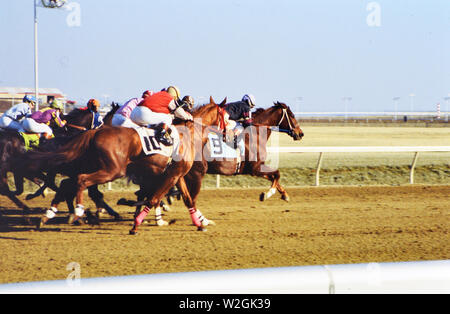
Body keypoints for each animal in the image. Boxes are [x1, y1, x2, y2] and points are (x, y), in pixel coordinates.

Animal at [24, 97, 227, 232]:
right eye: (226, 115)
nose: (227, 133)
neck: (189, 135)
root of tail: (95, 132)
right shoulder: (171, 175)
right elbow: (153, 198)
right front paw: (137, 223)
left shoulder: (177, 175)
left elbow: (187, 199)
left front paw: (200, 223)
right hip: (112, 170)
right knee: (82, 181)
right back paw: (78, 212)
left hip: (96, 166)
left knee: (69, 184)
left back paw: (49, 215)